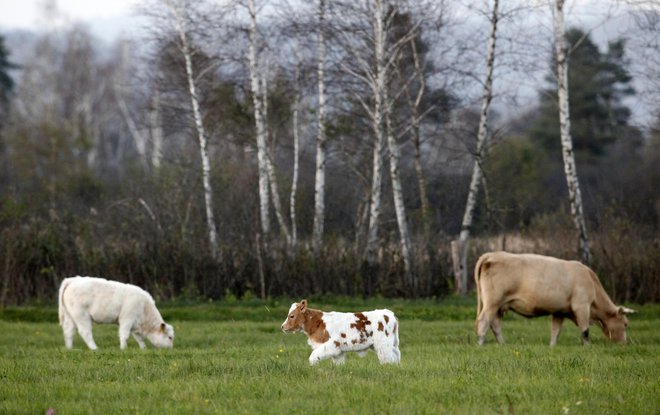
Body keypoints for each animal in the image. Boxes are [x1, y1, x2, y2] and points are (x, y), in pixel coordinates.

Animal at [474, 254, 636, 348]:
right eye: (625, 324)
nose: (625, 343)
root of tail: (493, 255)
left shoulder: (560, 311)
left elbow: (555, 331)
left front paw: (552, 347)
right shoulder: (582, 306)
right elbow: (585, 330)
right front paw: (588, 347)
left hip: (498, 306)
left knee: (495, 324)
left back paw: (502, 344)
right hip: (492, 303)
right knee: (484, 320)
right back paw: (480, 343)